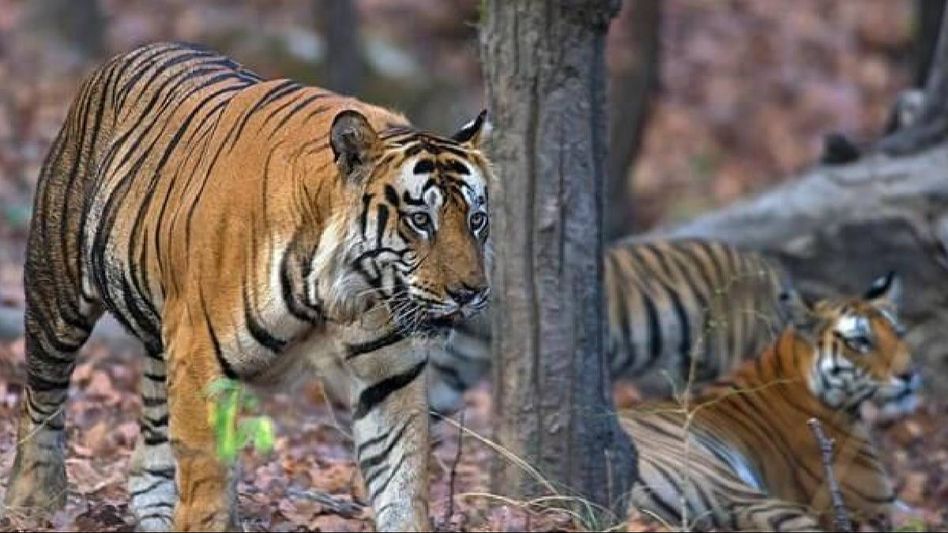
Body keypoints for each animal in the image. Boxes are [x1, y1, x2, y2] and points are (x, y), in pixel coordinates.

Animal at [2, 42, 493, 532]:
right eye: (420, 220)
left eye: (476, 220)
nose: (471, 292)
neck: (339, 295)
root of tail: (135, 51)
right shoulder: (201, 364)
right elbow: (207, 483)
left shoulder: (390, 377)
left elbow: (402, 481)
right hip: (57, 294)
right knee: (42, 397)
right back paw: (33, 499)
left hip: (162, 338)